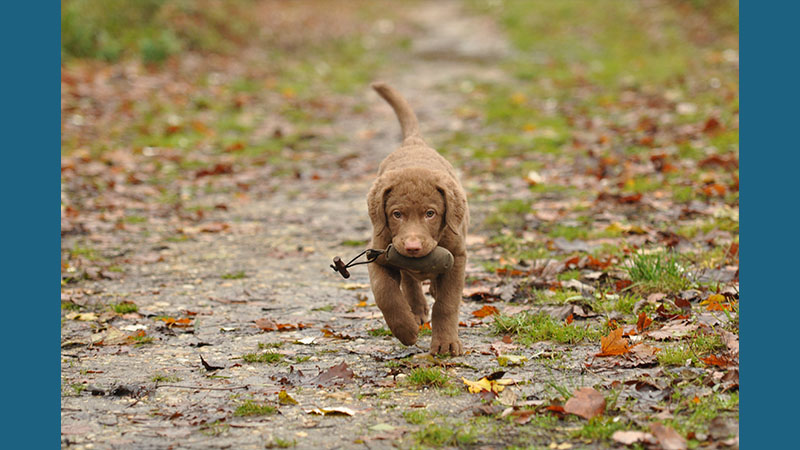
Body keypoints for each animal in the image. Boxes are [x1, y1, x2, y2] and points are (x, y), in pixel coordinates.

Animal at [364, 81, 466, 356]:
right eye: (396, 214)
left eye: (430, 214)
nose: (412, 247)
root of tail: (413, 142)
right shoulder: (378, 254)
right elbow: (386, 294)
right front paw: (406, 330)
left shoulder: (458, 257)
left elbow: (446, 304)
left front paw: (445, 344)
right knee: (409, 280)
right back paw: (416, 310)